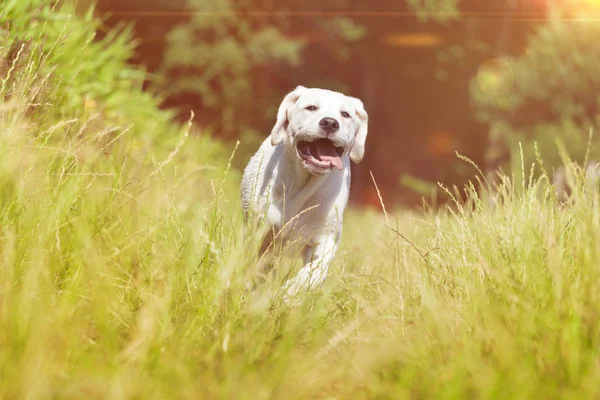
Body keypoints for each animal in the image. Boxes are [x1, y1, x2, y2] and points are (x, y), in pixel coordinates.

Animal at [241, 86, 368, 300]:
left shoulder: (326, 238)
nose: (330, 123)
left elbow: (315, 272)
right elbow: (255, 263)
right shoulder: (259, 230)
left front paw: (289, 292)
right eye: (311, 107)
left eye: (345, 114)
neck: (301, 186)